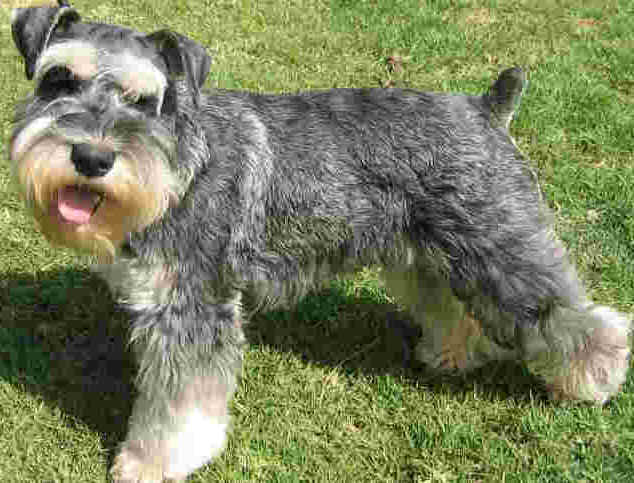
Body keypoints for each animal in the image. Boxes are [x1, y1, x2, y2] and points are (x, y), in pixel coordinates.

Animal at [7, 1, 628, 482]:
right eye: (59, 79)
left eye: (143, 99)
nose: (92, 157)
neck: (181, 161)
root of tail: (487, 108)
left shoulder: (193, 308)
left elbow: (178, 404)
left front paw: (151, 462)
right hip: (433, 252)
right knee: (452, 305)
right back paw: (451, 354)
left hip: (502, 248)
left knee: (578, 319)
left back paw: (593, 384)